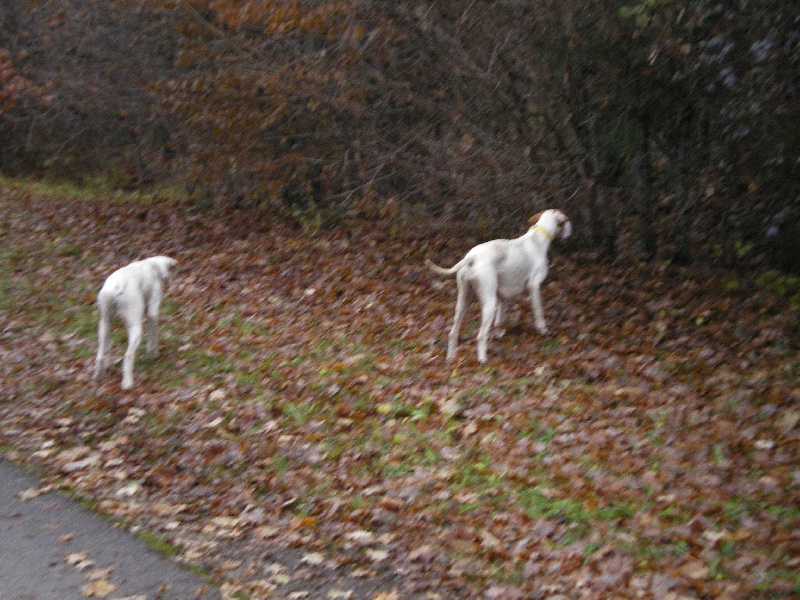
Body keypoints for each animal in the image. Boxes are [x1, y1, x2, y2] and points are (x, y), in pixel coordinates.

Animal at [93, 256, 177, 390]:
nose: (169, 280)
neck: (152, 265)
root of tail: (117, 286)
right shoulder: (153, 312)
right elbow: (153, 336)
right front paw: (153, 353)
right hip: (135, 326)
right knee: (128, 356)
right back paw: (127, 383)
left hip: (105, 324)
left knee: (100, 355)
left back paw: (99, 375)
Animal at [428, 209, 572, 364]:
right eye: (566, 220)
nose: (571, 230)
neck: (537, 238)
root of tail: (472, 258)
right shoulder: (534, 286)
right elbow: (538, 312)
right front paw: (543, 330)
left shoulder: (501, 296)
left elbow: (499, 320)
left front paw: (498, 334)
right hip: (488, 303)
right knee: (480, 335)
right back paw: (482, 359)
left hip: (463, 301)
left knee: (453, 332)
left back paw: (451, 358)